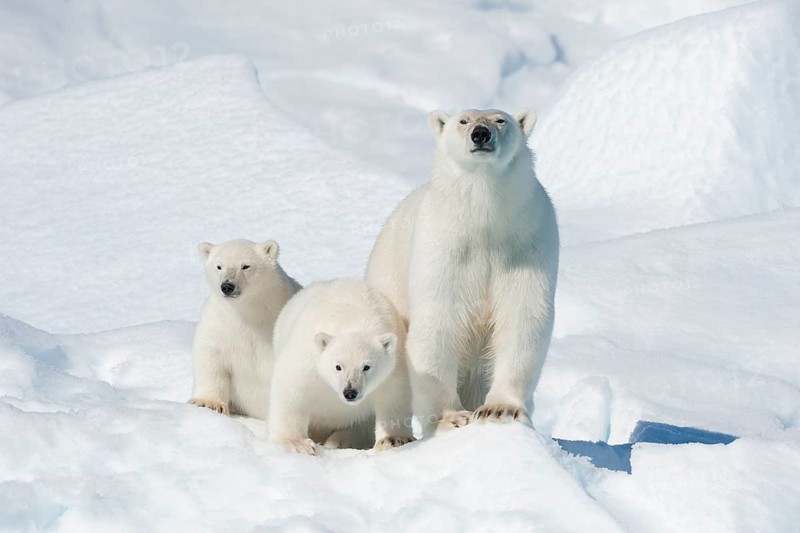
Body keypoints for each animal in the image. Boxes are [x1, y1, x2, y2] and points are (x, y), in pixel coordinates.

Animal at [189, 238, 301, 420]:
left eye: (245, 266)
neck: (248, 313)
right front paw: (208, 403)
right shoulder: (219, 322)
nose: (227, 286)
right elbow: (210, 354)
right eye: (219, 266)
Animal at [267, 278, 415, 455]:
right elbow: (291, 386)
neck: (356, 317)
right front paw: (297, 443)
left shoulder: (395, 364)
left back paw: (339, 440)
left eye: (366, 367)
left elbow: (395, 395)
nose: (350, 392)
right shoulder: (308, 356)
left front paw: (393, 440)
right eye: (338, 366)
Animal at [366, 108, 559, 437]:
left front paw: (499, 409)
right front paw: (452, 417)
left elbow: (522, 317)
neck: (484, 223)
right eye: (463, 121)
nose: (480, 134)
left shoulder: (528, 243)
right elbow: (438, 321)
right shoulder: (444, 248)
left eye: (501, 120)